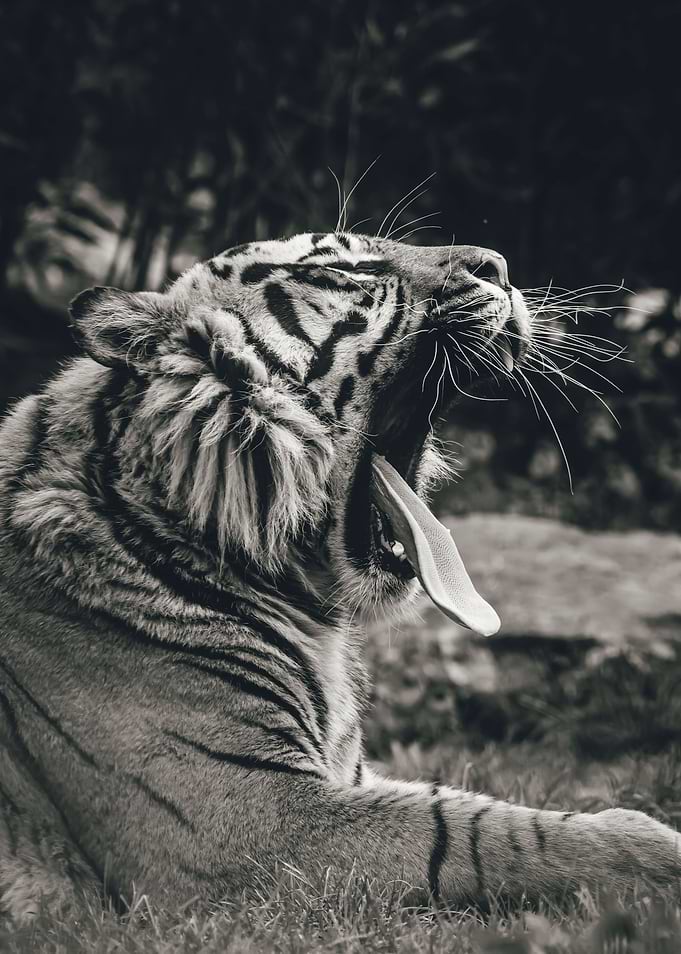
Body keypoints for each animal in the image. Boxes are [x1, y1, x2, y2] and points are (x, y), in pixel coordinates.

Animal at [0, 230, 679, 922]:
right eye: (347, 269)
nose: (501, 267)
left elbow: (459, 799)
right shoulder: (251, 819)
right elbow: (475, 832)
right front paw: (654, 852)